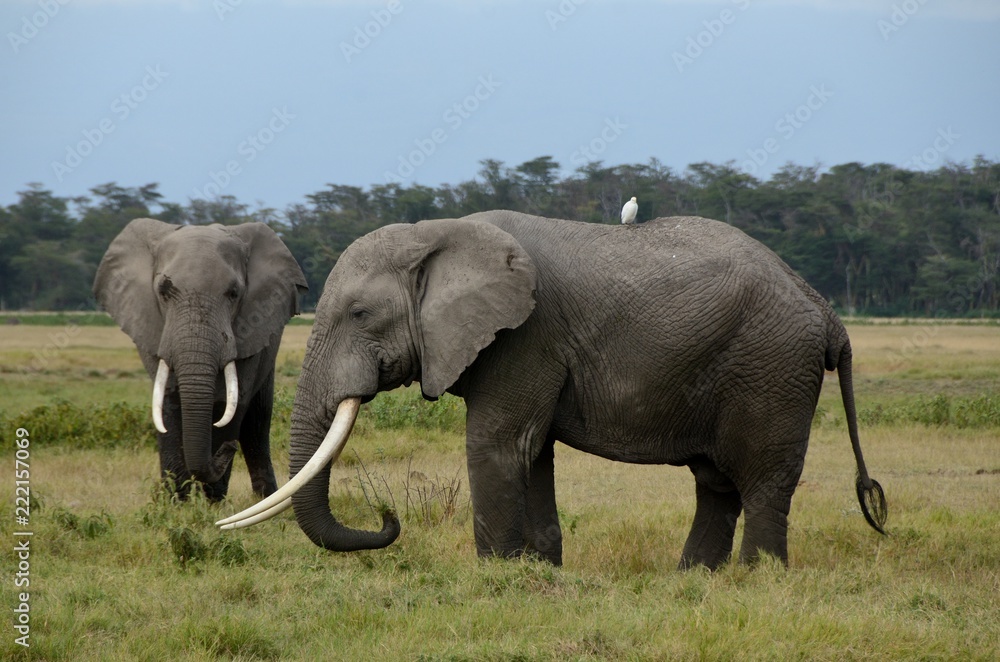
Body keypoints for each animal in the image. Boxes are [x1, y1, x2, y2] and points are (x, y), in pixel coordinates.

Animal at [94, 219, 307, 501]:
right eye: (163, 292)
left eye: (234, 293)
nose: (229, 448)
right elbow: (168, 400)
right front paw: (176, 503)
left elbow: (226, 403)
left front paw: (210, 503)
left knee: (257, 424)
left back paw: (264, 498)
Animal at [219, 211, 886, 569]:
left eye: (359, 314)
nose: (388, 516)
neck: (438, 234)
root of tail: (826, 312)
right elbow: (532, 453)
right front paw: (537, 574)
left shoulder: (526, 335)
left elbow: (498, 444)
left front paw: (494, 580)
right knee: (717, 483)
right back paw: (694, 582)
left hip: (772, 367)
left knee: (763, 480)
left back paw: (753, 580)